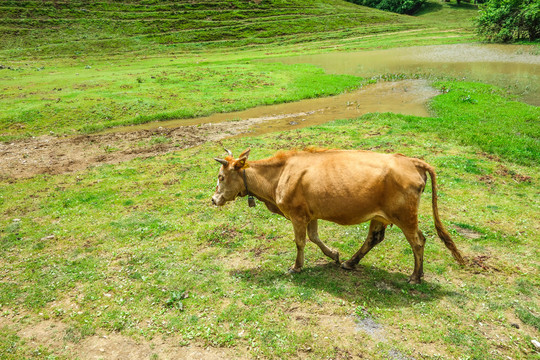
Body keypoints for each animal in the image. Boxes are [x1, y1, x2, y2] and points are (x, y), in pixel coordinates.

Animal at [212, 148, 464, 282]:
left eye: (221, 177)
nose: (213, 199)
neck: (279, 175)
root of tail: (410, 160)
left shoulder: (297, 214)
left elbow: (300, 241)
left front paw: (296, 266)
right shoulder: (310, 214)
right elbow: (314, 237)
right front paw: (333, 255)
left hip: (405, 216)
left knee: (418, 241)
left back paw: (415, 276)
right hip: (380, 215)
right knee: (374, 238)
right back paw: (350, 263)